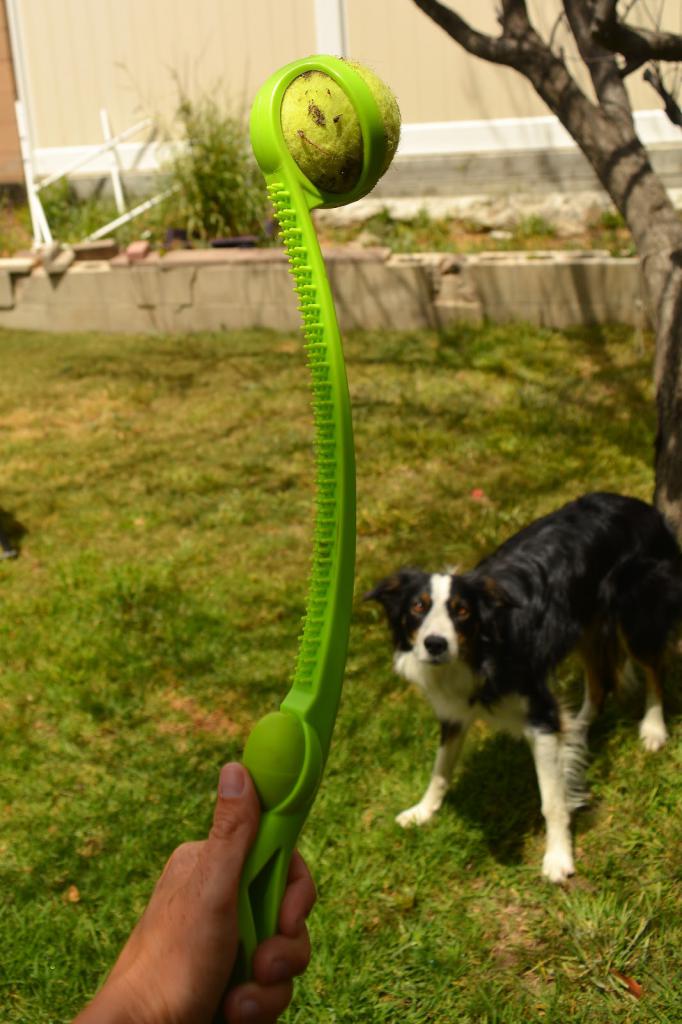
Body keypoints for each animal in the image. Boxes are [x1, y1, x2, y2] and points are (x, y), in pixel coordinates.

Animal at [366, 493, 679, 880]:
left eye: (462, 611)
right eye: (417, 607)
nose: (435, 644)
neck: (480, 650)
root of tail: (637, 504)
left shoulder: (538, 712)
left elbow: (552, 801)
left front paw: (558, 858)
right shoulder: (455, 711)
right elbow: (440, 769)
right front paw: (422, 811)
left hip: (636, 611)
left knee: (654, 668)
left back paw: (653, 728)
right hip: (583, 624)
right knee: (598, 682)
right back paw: (578, 727)